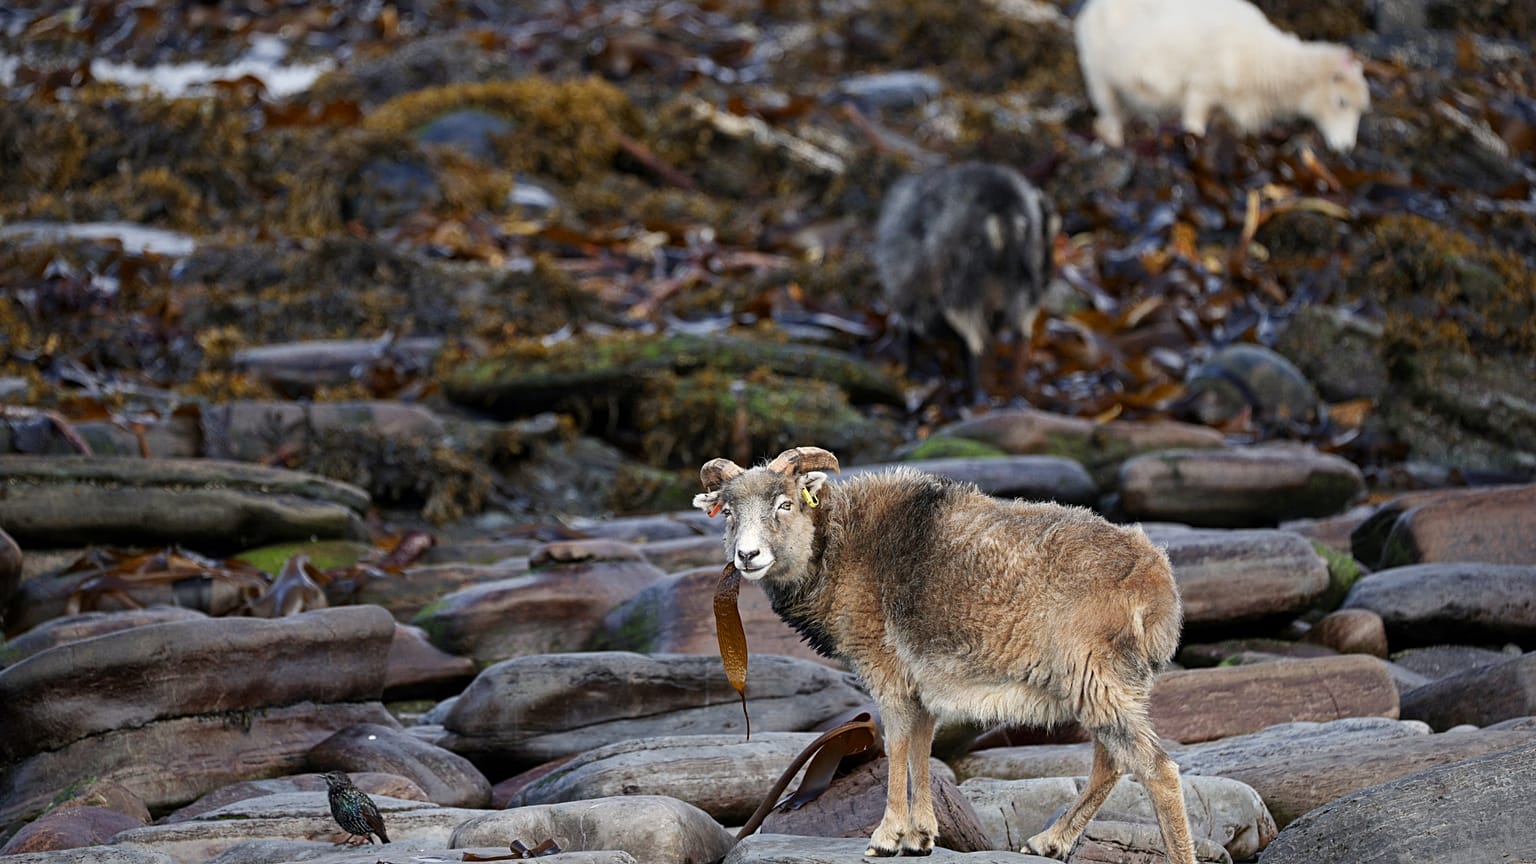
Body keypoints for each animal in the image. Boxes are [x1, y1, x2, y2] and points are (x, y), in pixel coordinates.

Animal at [694, 446, 1196, 862]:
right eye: (728, 513)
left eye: (785, 504)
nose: (748, 556)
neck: (842, 549)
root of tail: (1157, 582)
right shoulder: (923, 679)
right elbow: (921, 745)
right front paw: (919, 836)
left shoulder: (885, 667)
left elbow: (896, 742)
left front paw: (886, 837)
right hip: (1109, 682)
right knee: (1111, 763)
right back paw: (1049, 842)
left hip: (1095, 675)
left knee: (1157, 769)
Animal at [874, 161, 1058, 404]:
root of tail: (1005, 207)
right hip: (1024, 276)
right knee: (1020, 330)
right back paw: (1015, 387)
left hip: (962, 271)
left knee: (972, 331)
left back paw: (978, 388)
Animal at [1074, 0, 1370, 152]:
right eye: (1341, 102)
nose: (1347, 148)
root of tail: (1089, 9)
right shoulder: (1201, 90)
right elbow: (1193, 127)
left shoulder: (1233, 112)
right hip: (1099, 78)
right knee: (1110, 117)